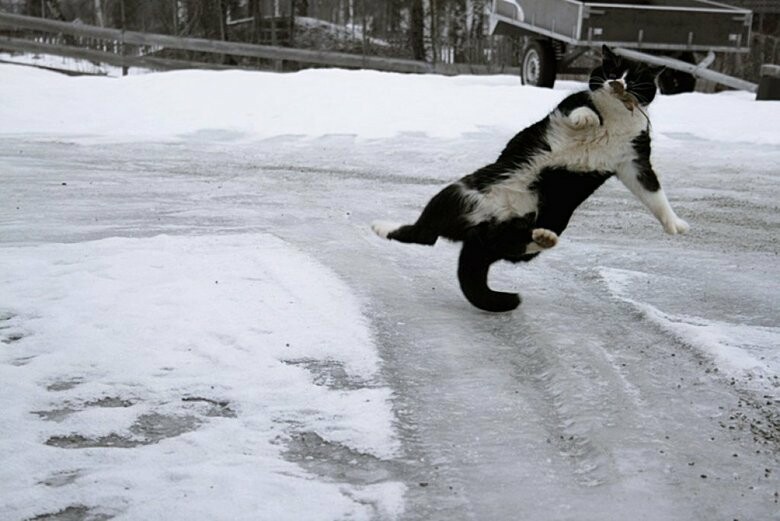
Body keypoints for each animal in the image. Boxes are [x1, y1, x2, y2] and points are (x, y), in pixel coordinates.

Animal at [372, 45, 689, 313]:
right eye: (611, 72)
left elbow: (653, 193)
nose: (617, 84)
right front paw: (589, 120)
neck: (614, 118)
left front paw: (674, 224)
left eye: (633, 78)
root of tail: (477, 233)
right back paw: (381, 226)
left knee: (512, 247)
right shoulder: (567, 106)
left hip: (549, 219)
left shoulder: (633, 162)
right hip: (454, 193)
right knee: (424, 234)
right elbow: (582, 109)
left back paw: (544, 237)